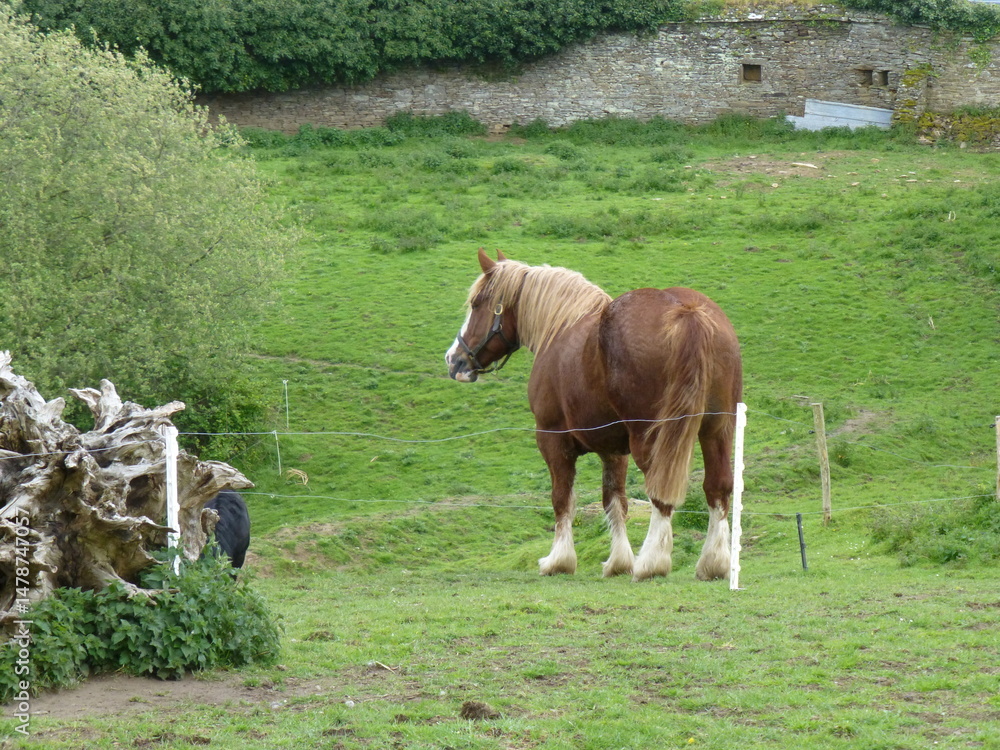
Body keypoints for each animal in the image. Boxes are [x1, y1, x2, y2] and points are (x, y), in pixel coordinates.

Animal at [445, 249, 742, 581]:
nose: (454, 360)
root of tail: (686, 310)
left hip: (652, 436)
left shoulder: (552, 439)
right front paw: (618, 562)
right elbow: (615, 501)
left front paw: (559, 560)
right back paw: (713, 563)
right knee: (718, 486)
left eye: (476, 303)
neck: (560, 328)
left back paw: (651, 562)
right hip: (718, 429)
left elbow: (562, 499)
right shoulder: (612, 449)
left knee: (660, 492)